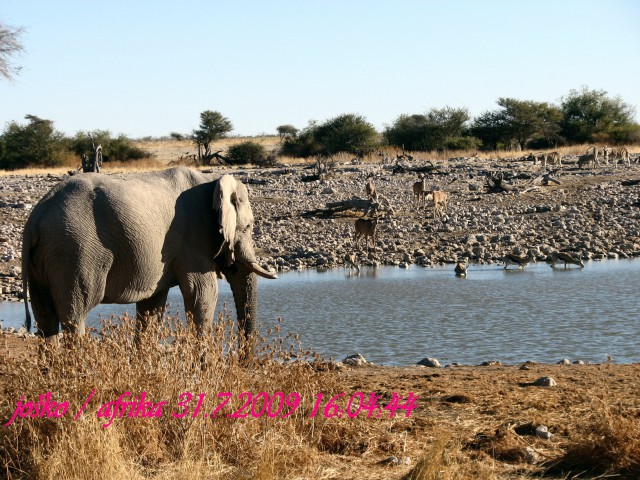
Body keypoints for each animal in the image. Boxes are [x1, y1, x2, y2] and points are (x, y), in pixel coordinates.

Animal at [21, 167, 278, 340]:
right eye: (248, 227)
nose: (244, 363)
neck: (212, 182)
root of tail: (36, 217)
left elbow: (152, 307)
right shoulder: (193, 240)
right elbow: (202, 295)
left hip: (47, 257)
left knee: (45, 319)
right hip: (74, 252)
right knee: (75, 316)